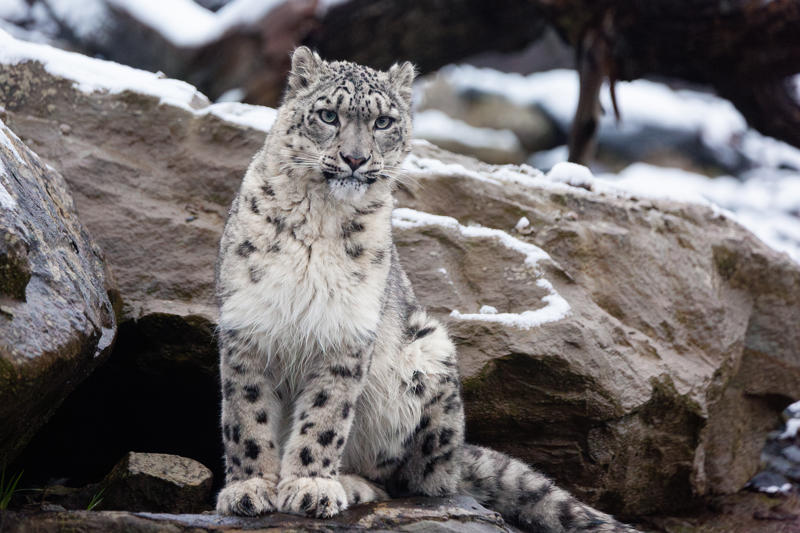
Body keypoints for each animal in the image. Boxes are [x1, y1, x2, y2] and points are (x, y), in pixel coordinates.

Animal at [213, 46, 638, 533]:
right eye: (327, 115)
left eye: (383, 122)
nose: (355, 159)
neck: (320, 218)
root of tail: (457, 457)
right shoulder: (248, 325)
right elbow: (247, 416)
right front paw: (249, 489)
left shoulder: (345, 333)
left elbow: (324, 416)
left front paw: (310, 486)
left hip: (428, 356)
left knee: (413, 479)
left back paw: (351, 483)